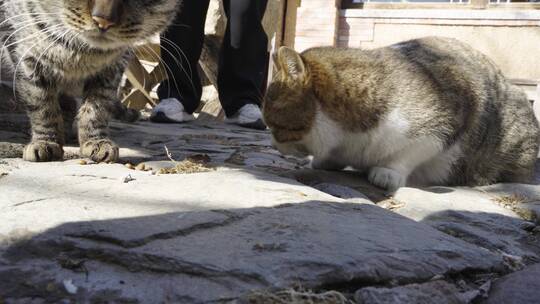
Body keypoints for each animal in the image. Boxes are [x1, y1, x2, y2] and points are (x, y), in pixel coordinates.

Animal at [0, 0, 181, 163]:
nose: (103, 20)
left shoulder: (114, 67)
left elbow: (96, 108)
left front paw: (95, 141)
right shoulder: (25, 52)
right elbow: (43, 106)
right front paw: (45, 141)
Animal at [264, 37, 540, 190]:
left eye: (275, 127)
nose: (273, 145)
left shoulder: (448, 120)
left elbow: (411, 152)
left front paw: (388, 172)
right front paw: (324, 161)